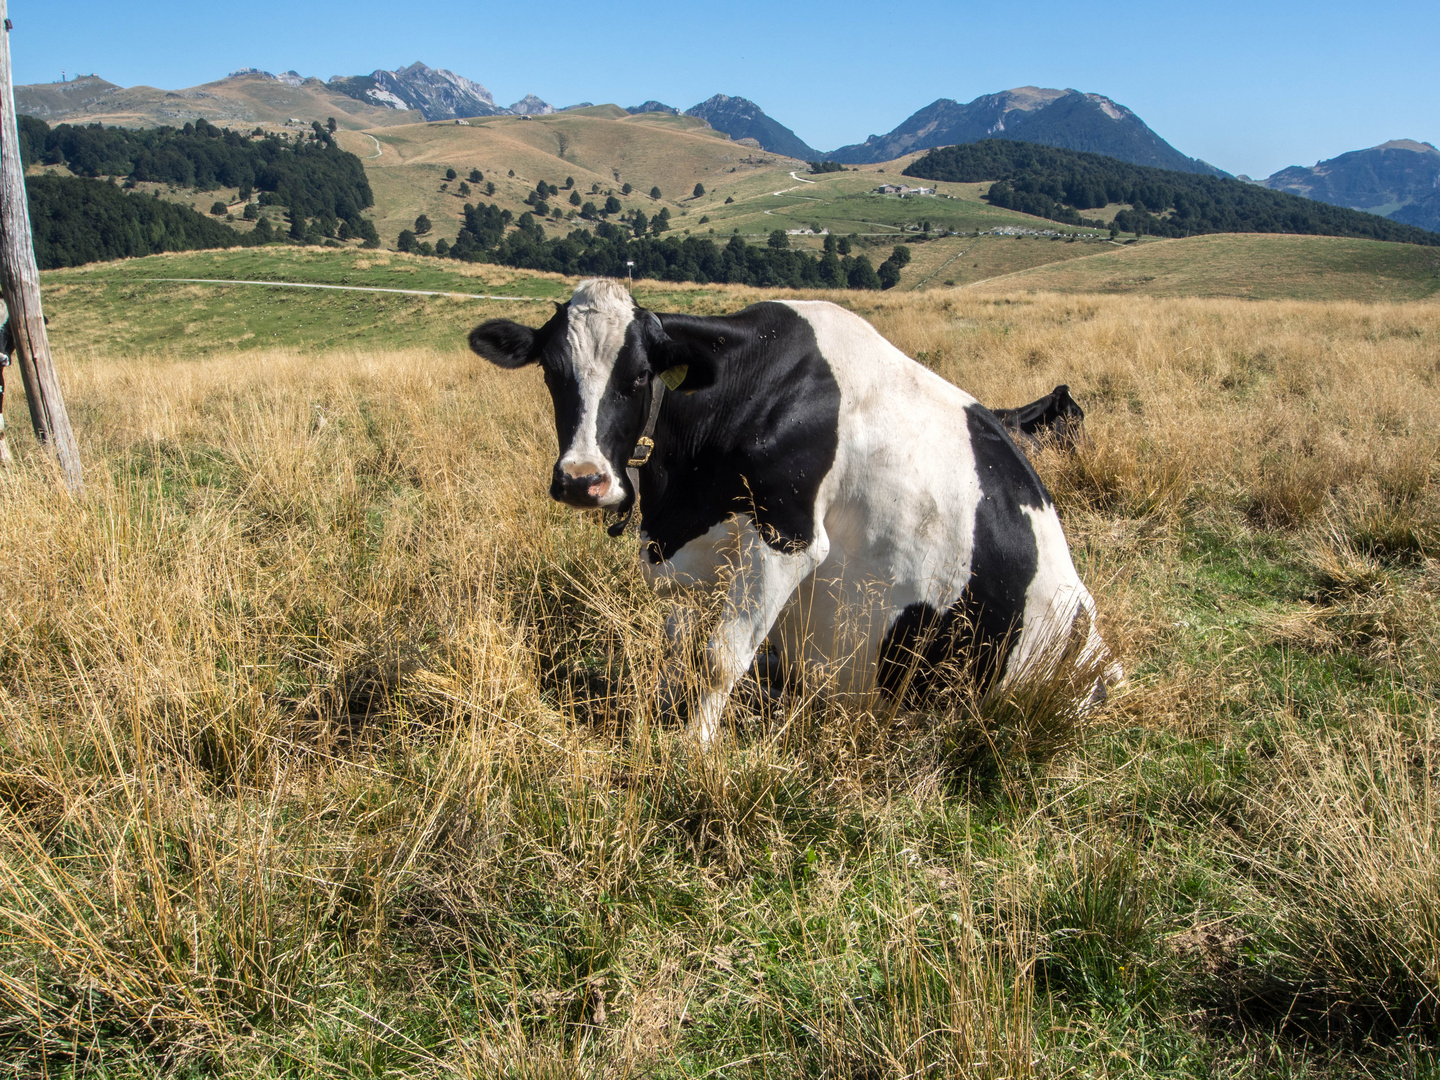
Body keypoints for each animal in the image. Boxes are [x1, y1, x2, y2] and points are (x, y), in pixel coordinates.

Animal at [466, 276, 1117, 743]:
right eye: (552, 373)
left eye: (641, 375)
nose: (583, 480)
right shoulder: (689, 553)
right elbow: (677, 648)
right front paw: (658, 717)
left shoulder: (787, 535)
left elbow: (720, 658)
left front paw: (690, 753)